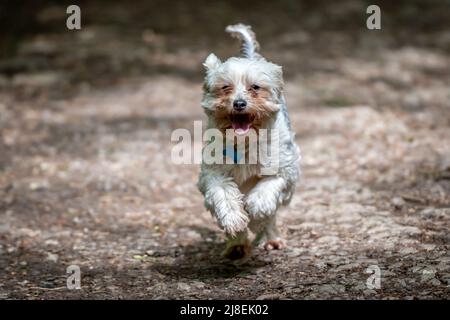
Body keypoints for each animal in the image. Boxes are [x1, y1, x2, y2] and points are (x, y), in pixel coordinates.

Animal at [198, 24, 300, 260]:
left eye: (255, 87)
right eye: (225, 87)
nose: (239, 103)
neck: (243, 143)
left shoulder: (285, 172)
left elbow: (265, 194)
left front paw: (256, 212)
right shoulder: (214, 173)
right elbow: (224, 195)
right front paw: (235, 221)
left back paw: (270, 238)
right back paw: (236, 246)